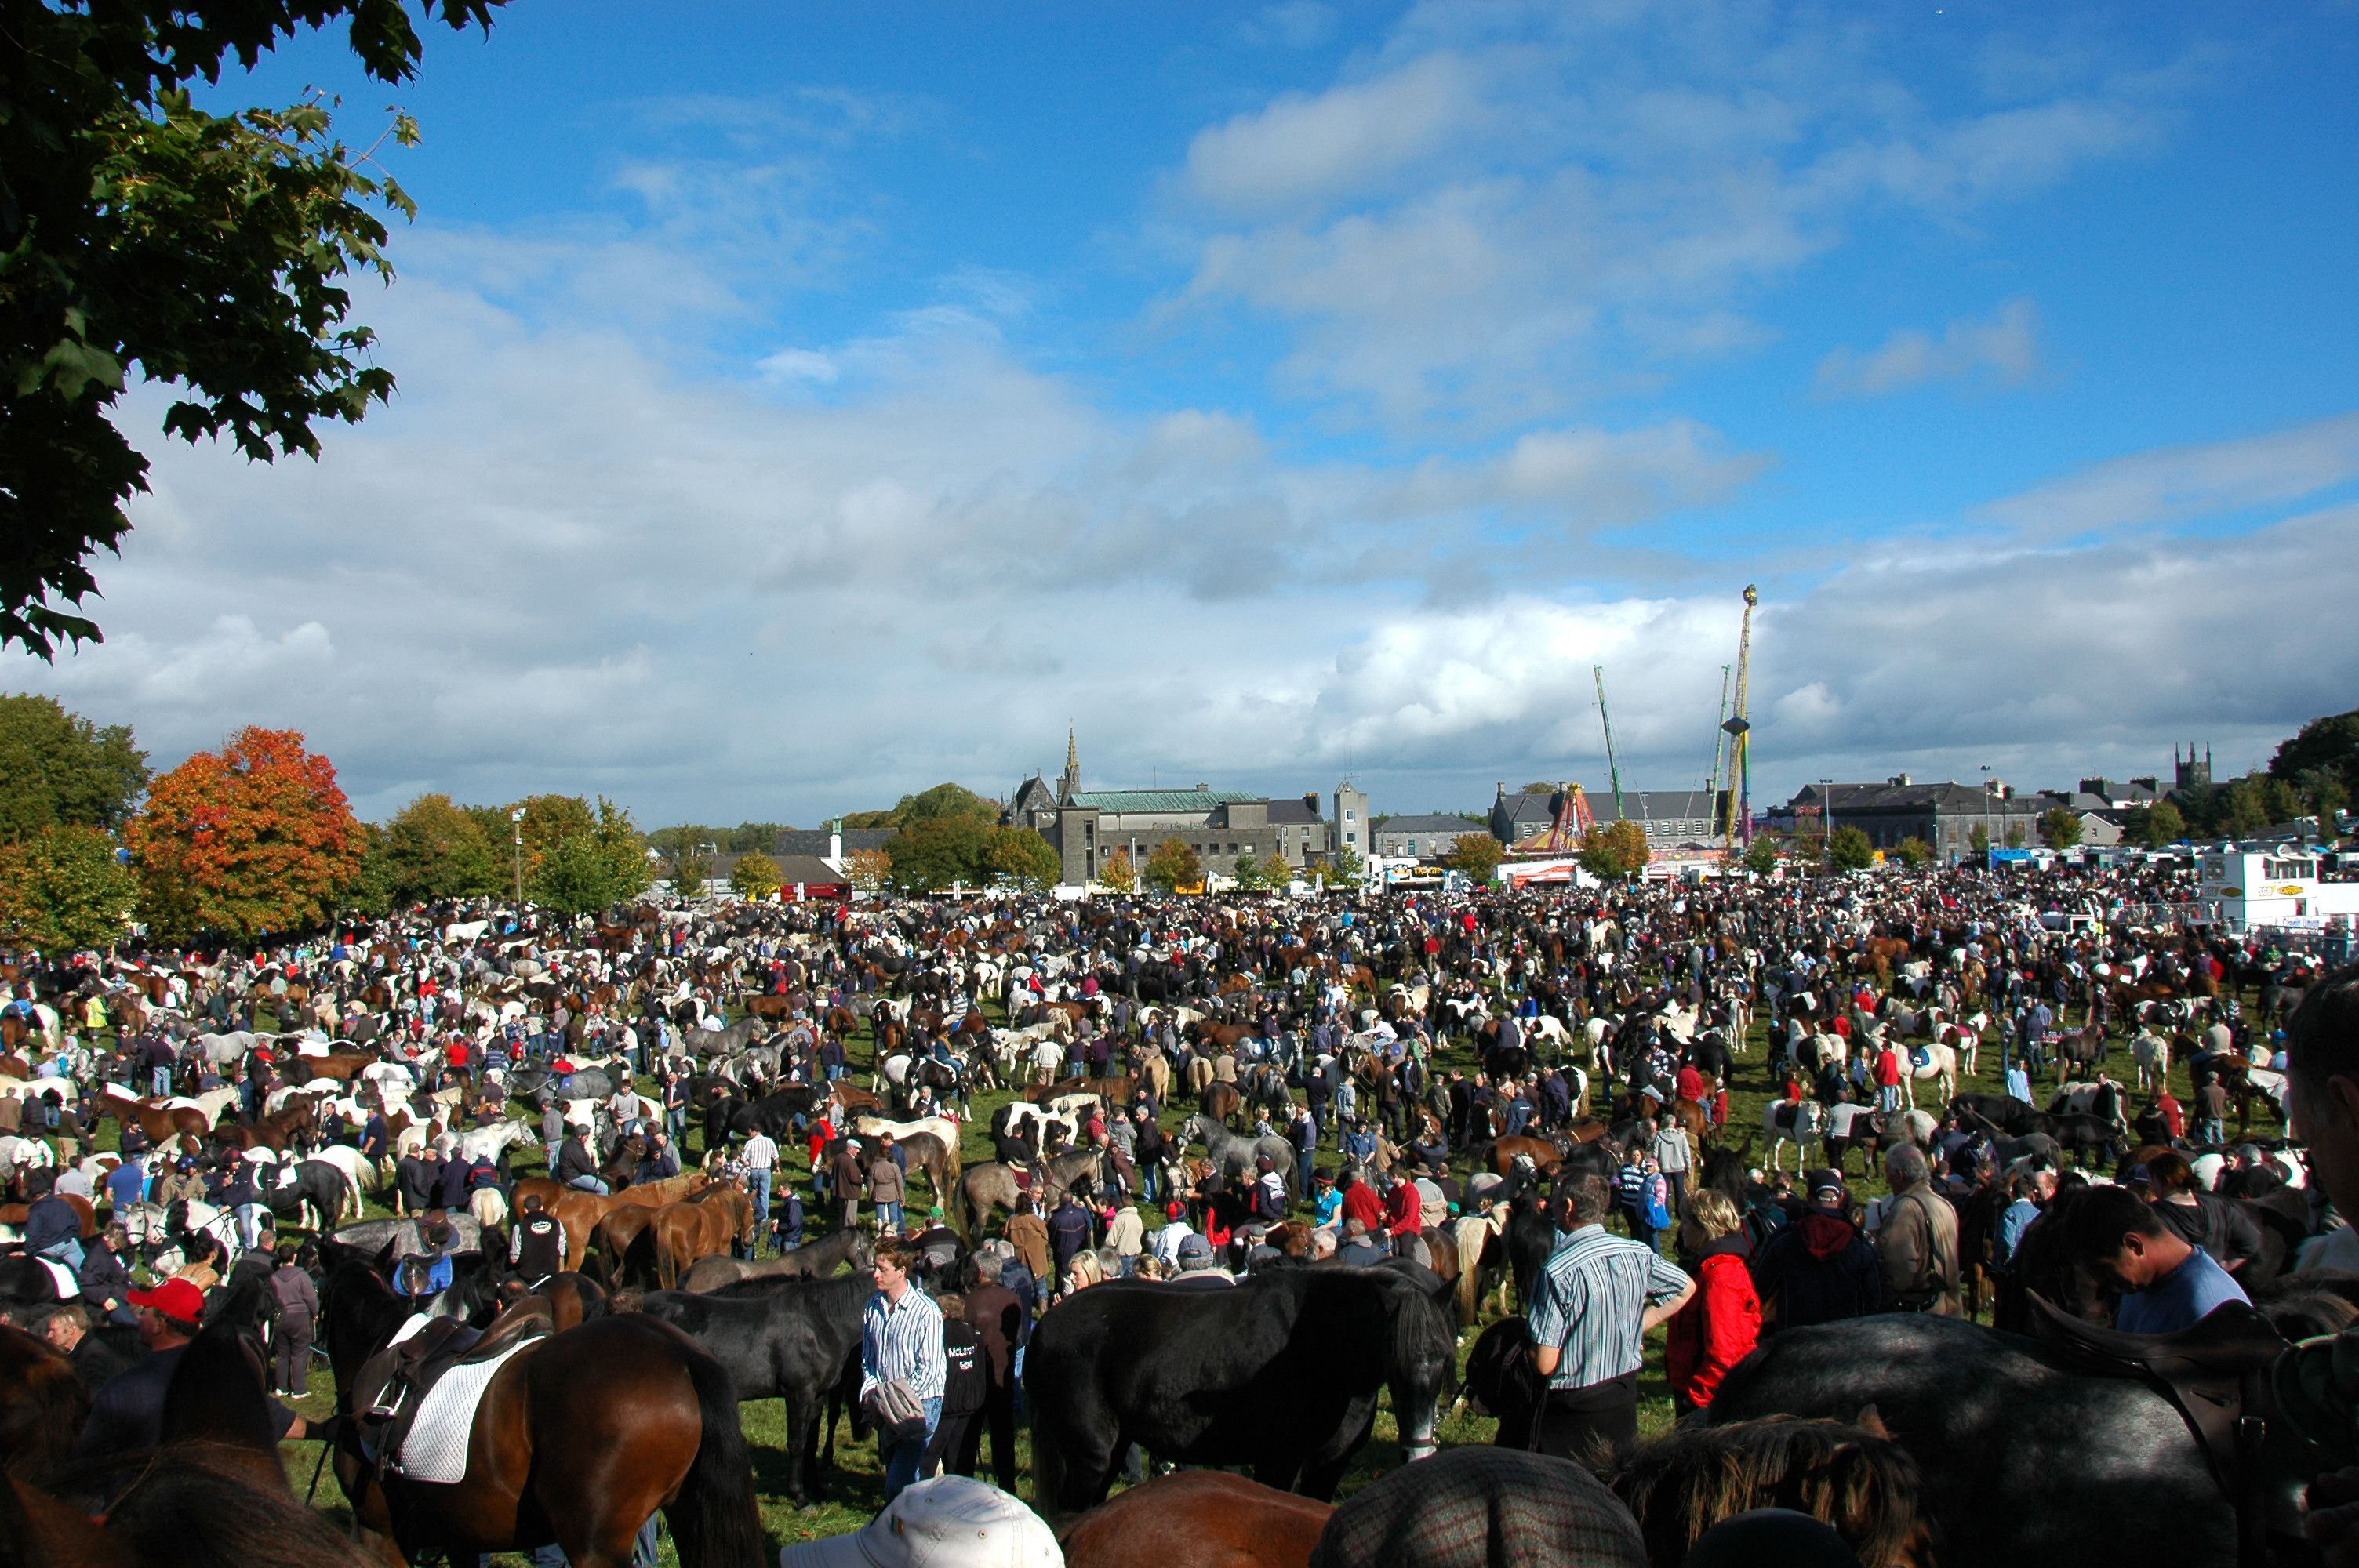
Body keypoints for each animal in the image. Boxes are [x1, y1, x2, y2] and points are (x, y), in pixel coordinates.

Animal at [613, 1264, 872, 1499]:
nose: (864, 1434)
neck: (820, 1323)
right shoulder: (799, 1393)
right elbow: (797, 1443)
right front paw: (798, 1495)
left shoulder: (817, 1394)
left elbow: (811, 1440)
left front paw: (815, 1487)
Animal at [1033, 1264, 1452, 1508]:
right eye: (1394, 1363)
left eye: (1443, 1361)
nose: (1420, 1458)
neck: (1317, 1347)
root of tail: (1045, 1326)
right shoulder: (1278, 1461)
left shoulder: (1328, 1468)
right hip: (1090, 1457)